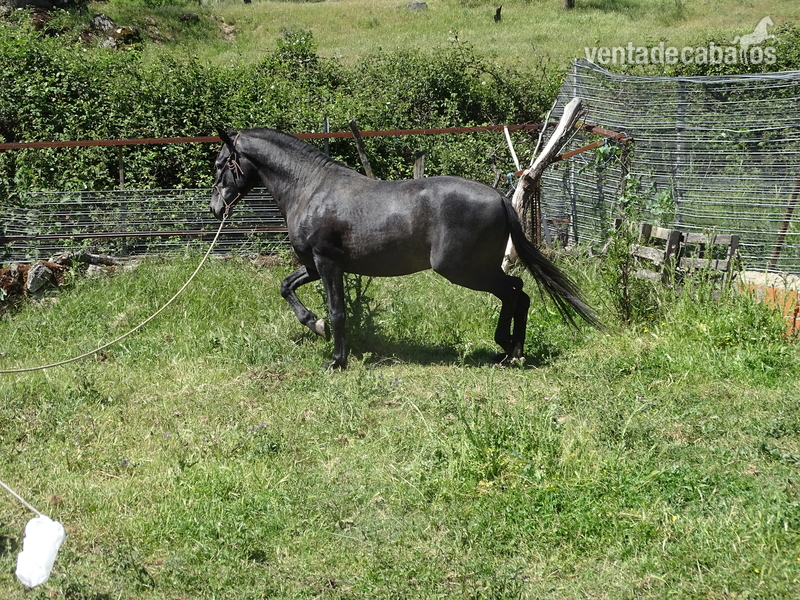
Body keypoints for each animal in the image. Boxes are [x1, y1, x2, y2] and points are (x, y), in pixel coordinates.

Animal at [210, 127, 600, 369]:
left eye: (219, 165)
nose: (215, 208)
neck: (310, 189)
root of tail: (500, 199)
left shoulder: (327, 263)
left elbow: (338, 311)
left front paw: (336, 359)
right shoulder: (314, 264)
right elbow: (286, 287)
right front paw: (315, 325)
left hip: (463, 270)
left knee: (514, 291)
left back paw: (509, 346)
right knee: (521, 294)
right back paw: (512, 351)